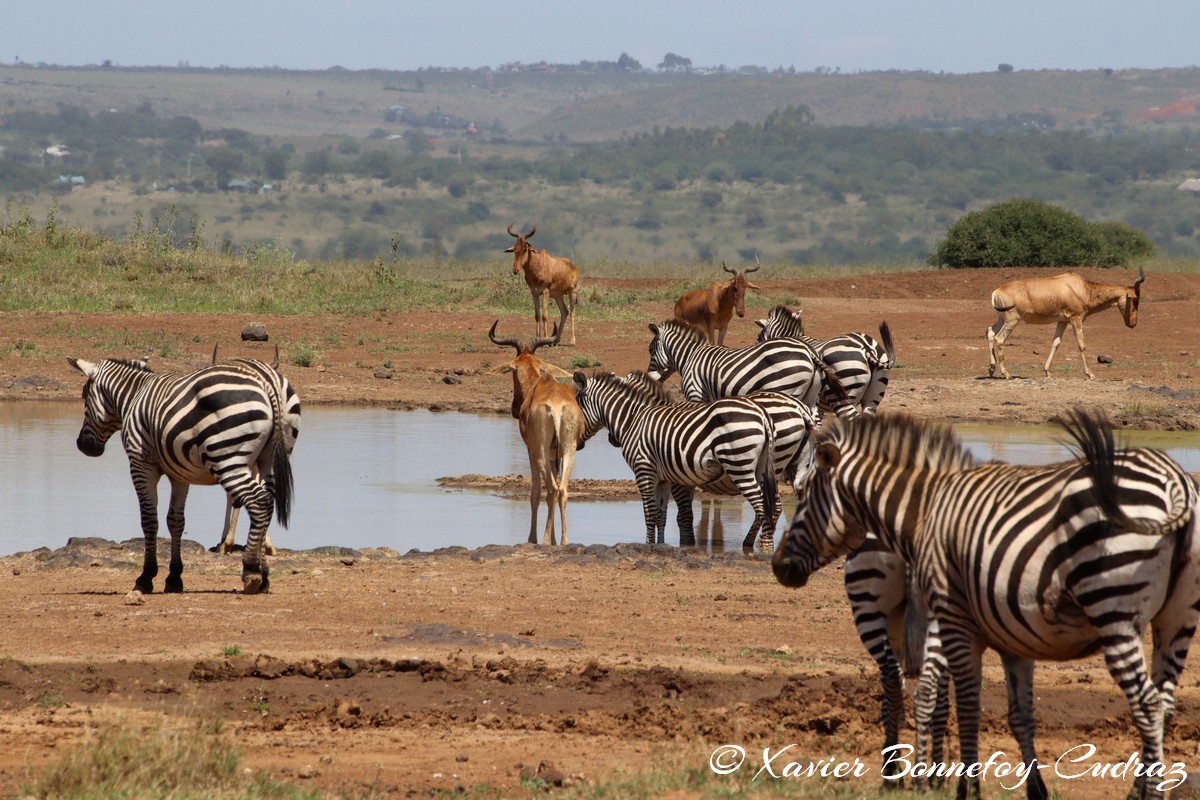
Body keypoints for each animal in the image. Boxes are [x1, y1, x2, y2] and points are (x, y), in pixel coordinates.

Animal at [68, 357, 300, 594]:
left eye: (84, 395)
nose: (83, 446)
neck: (135, 396)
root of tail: (268, 380)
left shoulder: (141, 464)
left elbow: (149, 519)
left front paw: (146, 577)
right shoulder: (179, 473)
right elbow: (176, 521)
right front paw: (174, 578)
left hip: (228, 457)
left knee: (259, 502)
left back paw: (251, 570)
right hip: (269, 458)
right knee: (268, 503)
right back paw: (264, 574)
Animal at [576, 371, 782, 551]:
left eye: (577, 408)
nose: (576, 444)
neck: (634, 420)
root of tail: (762, 414)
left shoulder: (644, 470)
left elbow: (649, 513)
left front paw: (648, 546)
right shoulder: (664, 479)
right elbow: (661, 515)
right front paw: (660, 546)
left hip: (738, 465)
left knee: (762, 505)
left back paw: (765, 549)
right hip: (760, 467)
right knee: (771, 504)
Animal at [648, 319, 854, 419]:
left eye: (650, 350)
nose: (651, 378)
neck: (689, 356)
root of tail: (809, 352)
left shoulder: (695, 393)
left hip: (787, 389)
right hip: (811, 396)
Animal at [772, 412, 1195, 800]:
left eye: (803, 494)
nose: (779, 566)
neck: (926, 510)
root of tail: (1175, 481)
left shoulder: (953, 617)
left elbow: (965, 705)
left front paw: (960, 787)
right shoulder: (1012, 636)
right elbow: (1019, 715)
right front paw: (1032, 789)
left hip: (1113, 611)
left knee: (1147, 705)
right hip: (1178, 620)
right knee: (1164, 703)